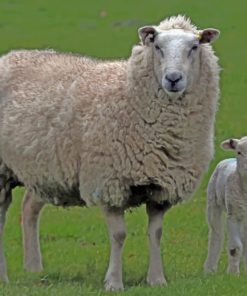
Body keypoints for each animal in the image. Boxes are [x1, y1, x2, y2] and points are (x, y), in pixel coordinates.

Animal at [0, 15, 220, 290]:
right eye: (157, 46)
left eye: (194, 47)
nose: (173, 78)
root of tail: (10, 56)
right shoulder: (109, 183)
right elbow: (119, 235)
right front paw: (114, 282)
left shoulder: (162, 188)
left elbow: (156, 233)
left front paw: (157, 279)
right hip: (4, 169)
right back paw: (5, 275)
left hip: (44, 168)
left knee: (29, 207)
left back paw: (33, 268)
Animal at [204, 138, 247, 274]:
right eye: (239, 152)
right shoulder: (232, 216)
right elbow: (235, 248)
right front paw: (233, 273)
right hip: (213, 202)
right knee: (216, 235)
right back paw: (209, 269)